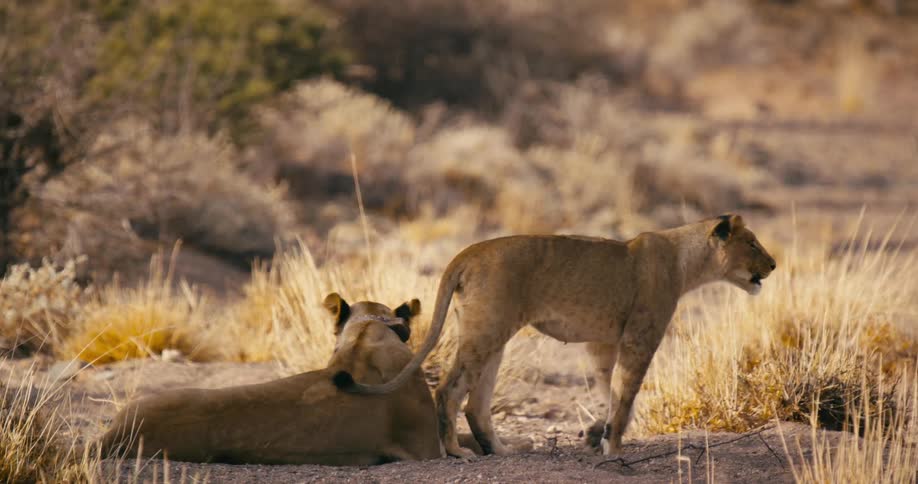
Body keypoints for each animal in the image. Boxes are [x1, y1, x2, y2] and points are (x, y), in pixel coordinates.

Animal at [335, 214, 776, 457]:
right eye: (753, 243)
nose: (773, 264)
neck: (686, 261)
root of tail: (468, 251)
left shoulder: (604, 343)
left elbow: (612, 391)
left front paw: (599, 437)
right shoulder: (640, 337)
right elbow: (627, 393)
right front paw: (614, 448)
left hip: (492, 334)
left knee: (476, 402)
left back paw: (500, 450)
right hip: (488, 328)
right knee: (448, 389)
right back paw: (458, 452)